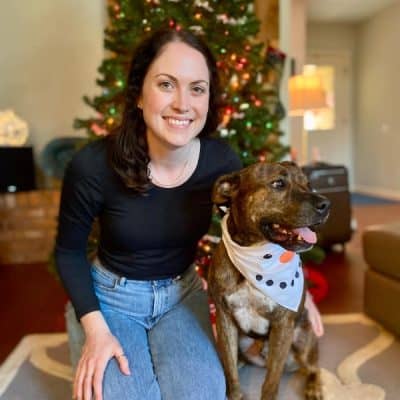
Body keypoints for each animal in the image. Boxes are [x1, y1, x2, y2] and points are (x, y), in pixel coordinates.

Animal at [208, 162, 330, 400]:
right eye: (278, 183)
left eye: (308, 184)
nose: (326, 204)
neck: (257, 256)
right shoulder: (225, 319)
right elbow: (230, 369)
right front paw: (234, 393)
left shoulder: (283, 326)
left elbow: (271, 381)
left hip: (302, 339)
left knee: (313, 367)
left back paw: (314, 387)